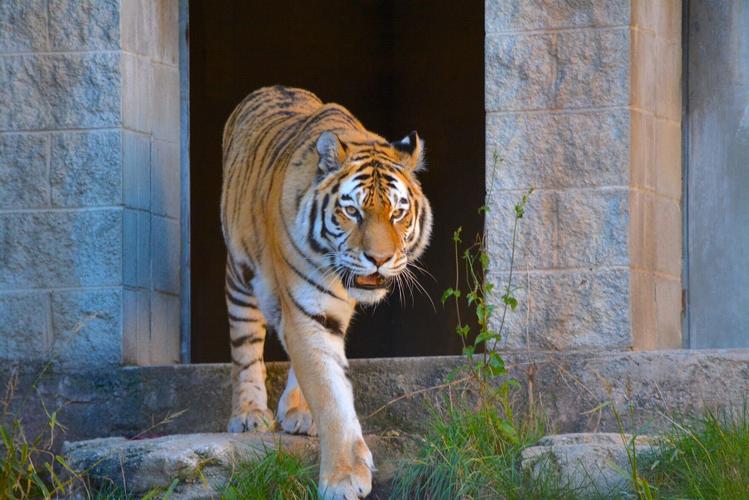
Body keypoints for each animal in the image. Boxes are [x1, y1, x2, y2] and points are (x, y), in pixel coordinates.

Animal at [220, 85, 432, 499]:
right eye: (353, 212)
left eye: (398, 213)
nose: (379, 259)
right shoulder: (306, 308)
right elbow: (330, 393)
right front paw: (344, 477)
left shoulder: (323, 311)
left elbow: (317, 373)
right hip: (239, 275)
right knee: (246, 346)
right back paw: (249, 414)